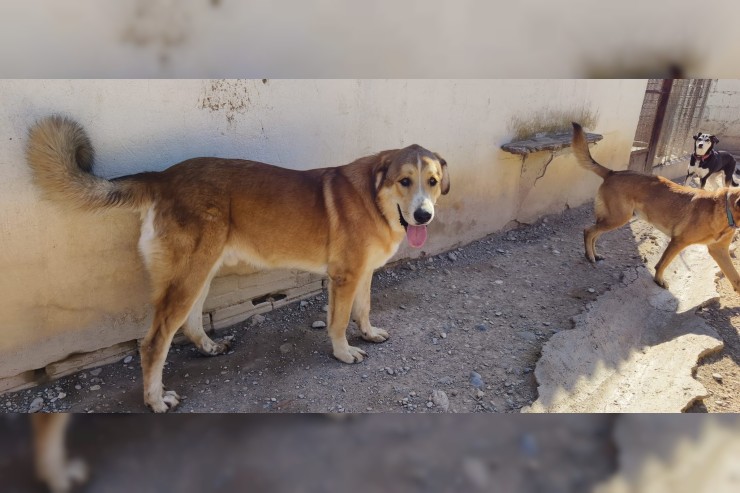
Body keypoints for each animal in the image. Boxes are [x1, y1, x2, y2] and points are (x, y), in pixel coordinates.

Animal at [24, 115, 450, 412]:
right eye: (404, 181)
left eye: (431, 181)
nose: (423, 215)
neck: (375, 199)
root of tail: (162, 178)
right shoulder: (344, 277)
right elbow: (339, 321)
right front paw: (343, 353)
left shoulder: (362, 274)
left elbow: (363, 309)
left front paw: (369, 333)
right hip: (188, 275)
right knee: (154, 342)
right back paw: (156, 400)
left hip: (201, 271)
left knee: (190, 322)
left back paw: (209, 347)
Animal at [572, 123, 740, 292]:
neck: (724, 209)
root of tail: (613, 173)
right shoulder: (678, 242)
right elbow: (663, 263)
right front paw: (659, 280)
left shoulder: (720, 251)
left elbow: (736, 278)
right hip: (618, 218)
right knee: (588, 231)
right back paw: (590, 256)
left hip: (613, 218)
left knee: (595, 233)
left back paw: (594, 254)